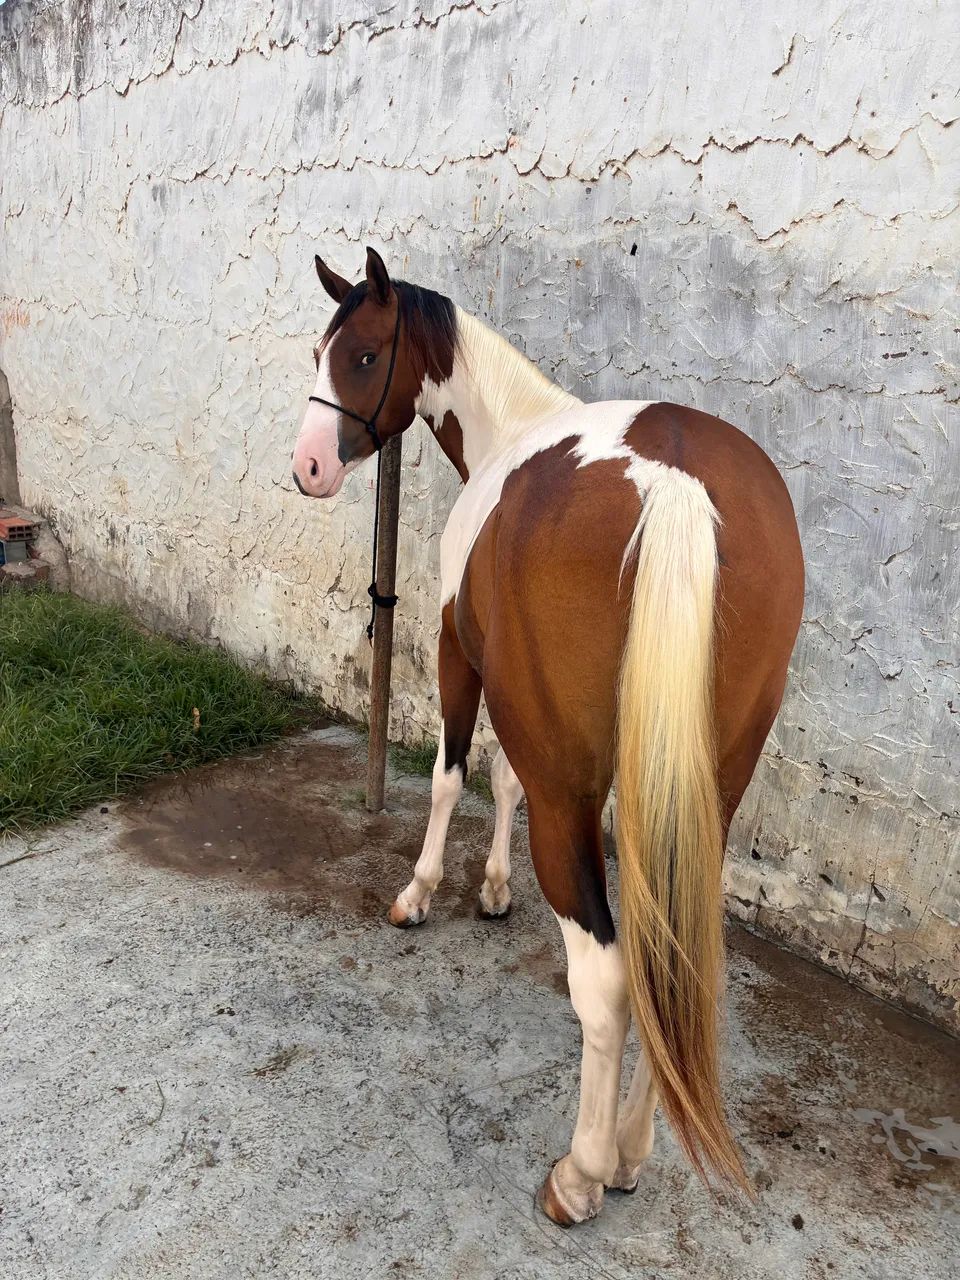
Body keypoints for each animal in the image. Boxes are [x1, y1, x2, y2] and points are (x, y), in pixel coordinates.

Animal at [292, 247, 804, 1225]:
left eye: (365, 355)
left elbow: (456, 774)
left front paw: (421, 894)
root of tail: (674, 482)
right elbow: (504, 780)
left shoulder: (459, 650)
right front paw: (493, 887)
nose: (306, 468)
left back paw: (583, 1172)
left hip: (579, 791)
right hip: (700, 795)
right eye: (319, 352)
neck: (513, 429)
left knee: (606, 978)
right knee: (673, 957)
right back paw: (635, 1150)